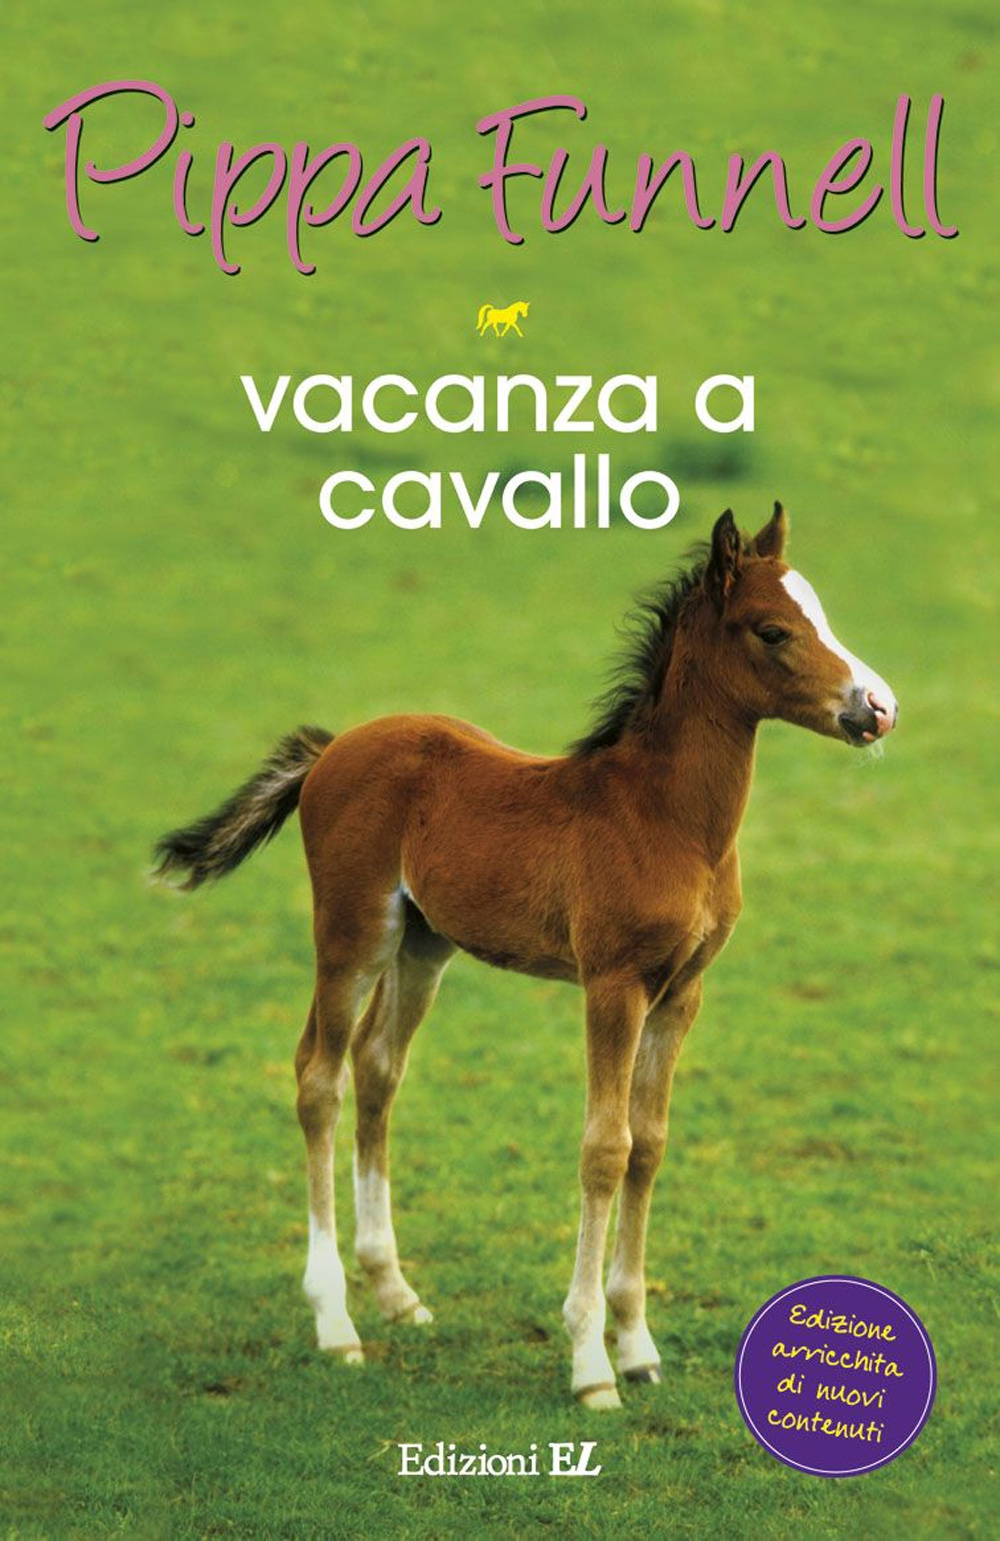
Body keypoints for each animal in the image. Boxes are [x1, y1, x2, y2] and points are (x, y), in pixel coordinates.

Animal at [154, 504, 897, 1410]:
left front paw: (638, 1345)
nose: (878, 707)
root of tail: (331, 750)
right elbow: (604, 1148)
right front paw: (590, 1363)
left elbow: (650, 1143)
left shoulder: (683, 992)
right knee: (318, 1076)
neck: (667, 819)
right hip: (352, 932)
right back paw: (336, 1321)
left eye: (818, 612)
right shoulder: (612, 984)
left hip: (423, 942)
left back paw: (395, 1290)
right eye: (772, 629)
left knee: (377, 1066)